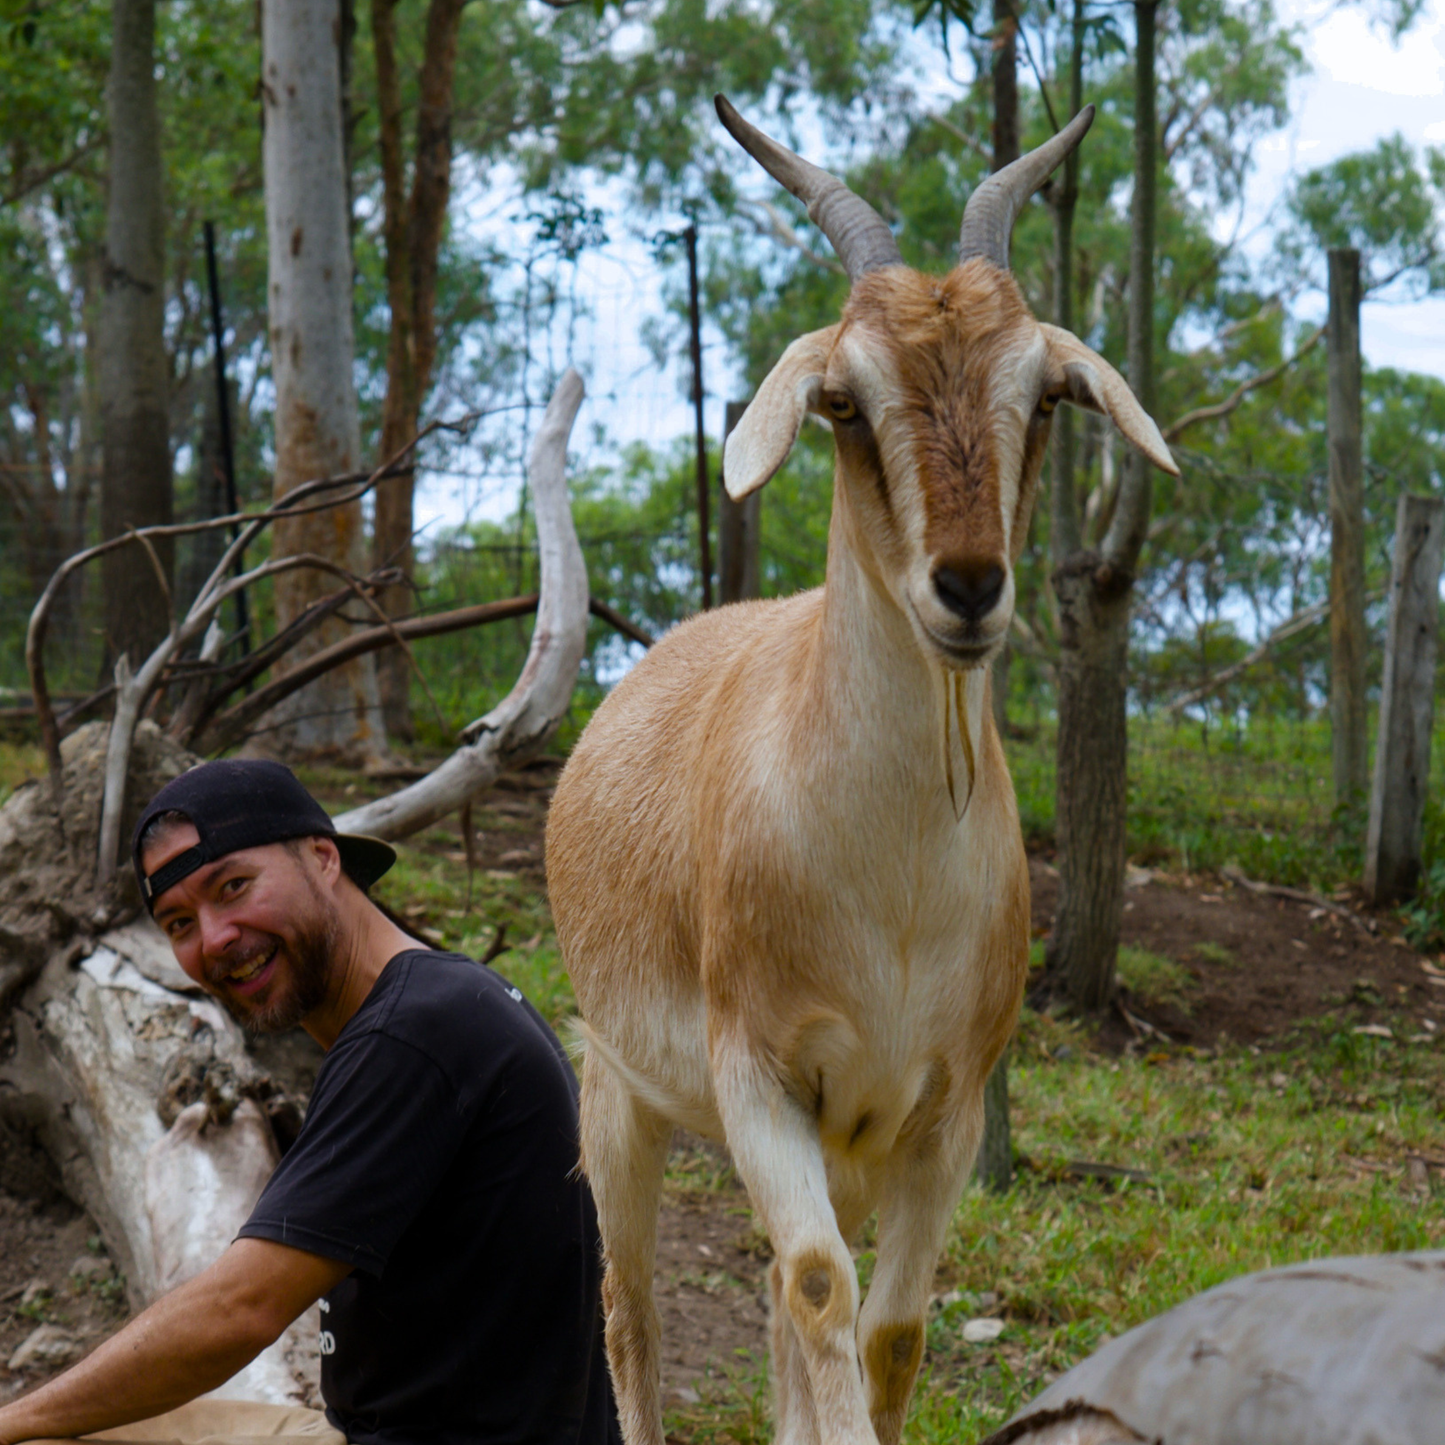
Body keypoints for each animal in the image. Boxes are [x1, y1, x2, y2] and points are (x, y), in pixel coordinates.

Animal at [545, 97, 1178, 1445]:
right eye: (841, 397)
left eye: (1045, 391)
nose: (969, 586)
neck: (889, 881)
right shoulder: (758, 1081)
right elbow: (819, 1283)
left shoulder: (941, 1113)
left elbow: (885, 1329)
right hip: (617, 1093)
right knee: (635, 1307)